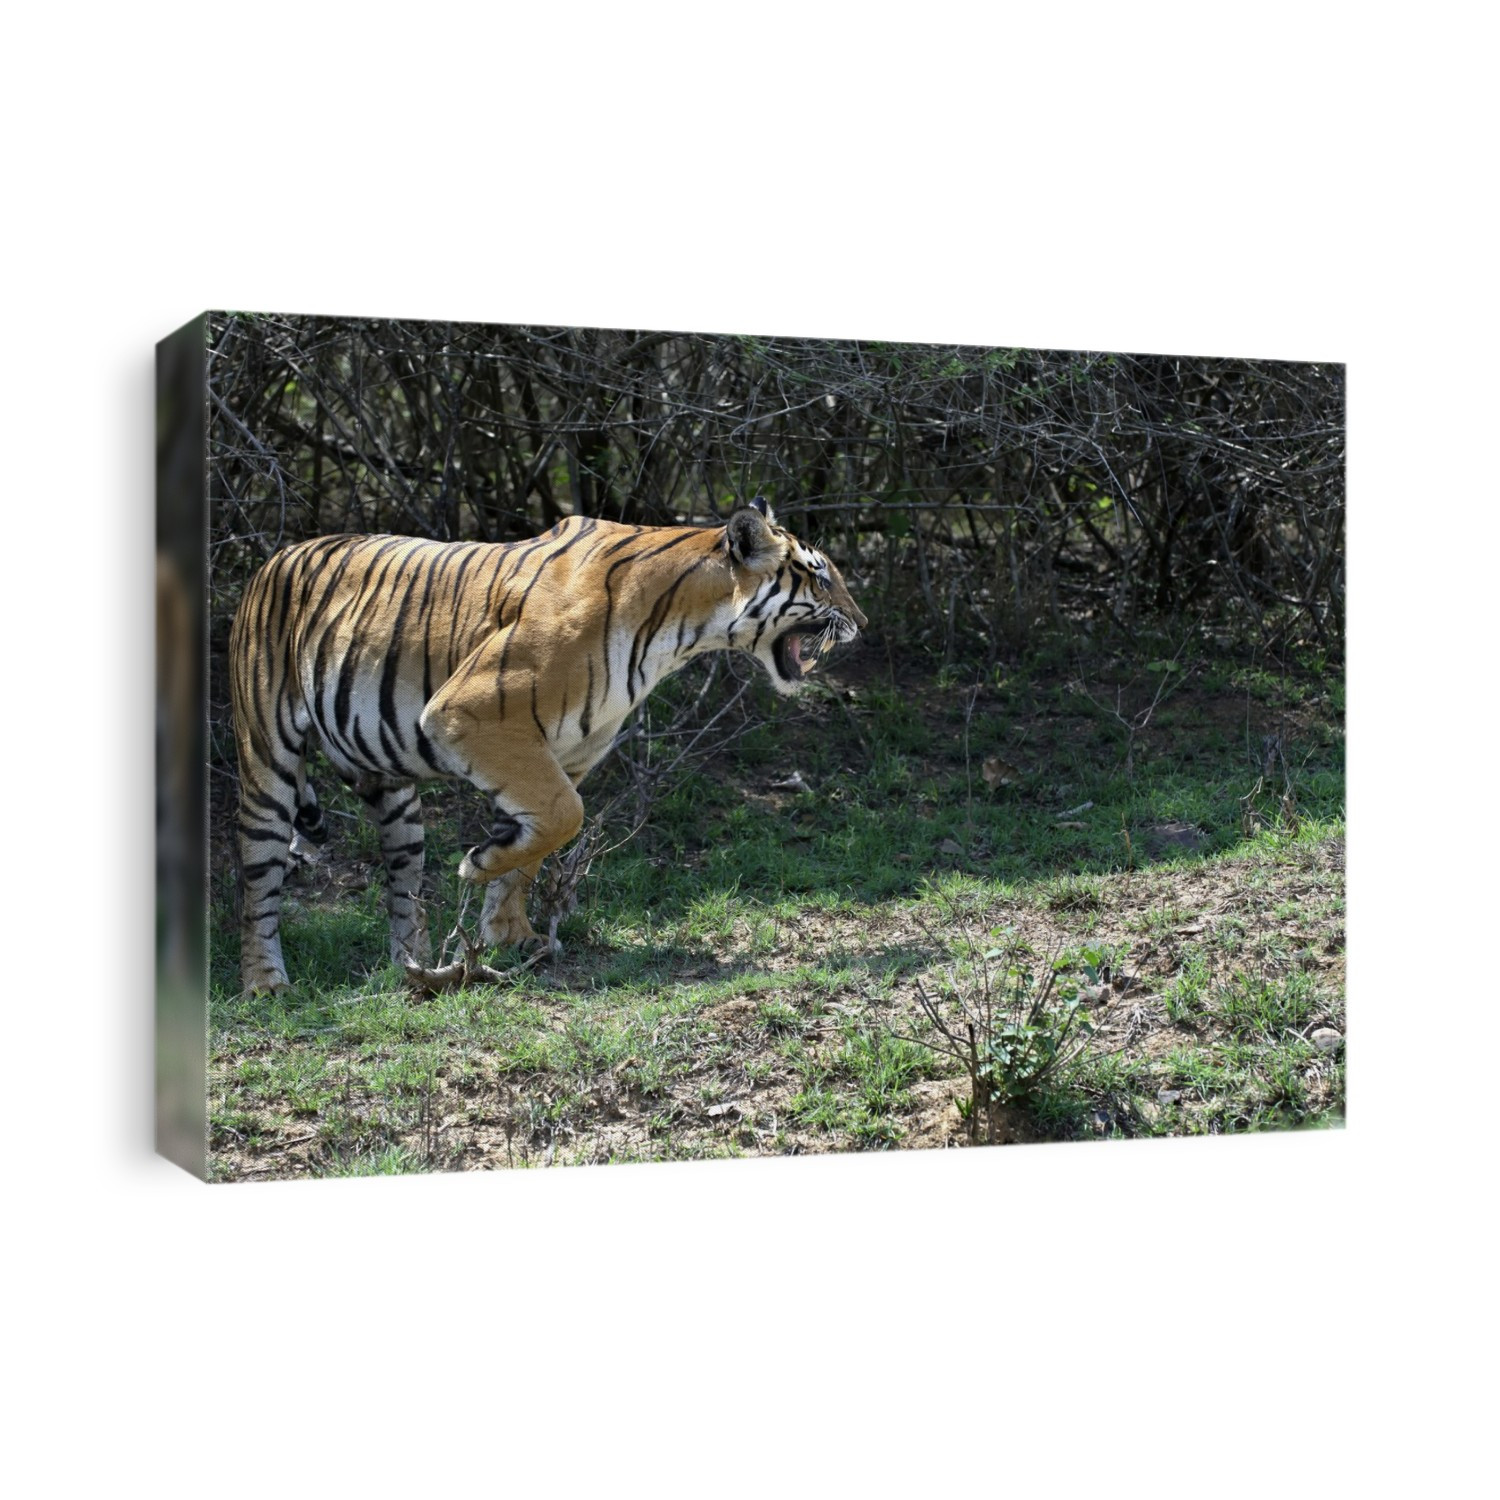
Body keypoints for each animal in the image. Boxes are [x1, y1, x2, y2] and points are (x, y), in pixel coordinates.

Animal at [228, 498, 866, 993]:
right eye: (820, 576)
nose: (861, 622)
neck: (681, 631)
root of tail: (270, 561)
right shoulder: (470, 712)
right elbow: (565, 816)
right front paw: (480, 867)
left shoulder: (566, 752)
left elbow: (538, 845)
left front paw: (509, 934)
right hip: (266, 761)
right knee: (259, 883)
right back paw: (266, 984)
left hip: (394, 795)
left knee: (402, 882)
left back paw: (413, 964)